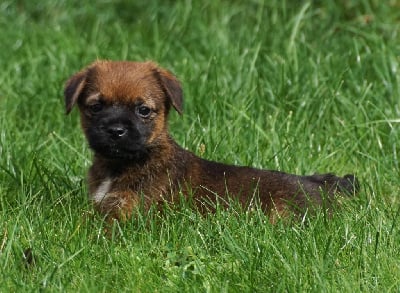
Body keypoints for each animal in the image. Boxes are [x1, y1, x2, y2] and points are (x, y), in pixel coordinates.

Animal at [65, 61, 360, 221]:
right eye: (95, 107)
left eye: (143, 110)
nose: (116, 130)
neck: (119, 166)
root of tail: (324, 187)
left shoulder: (125, 214)